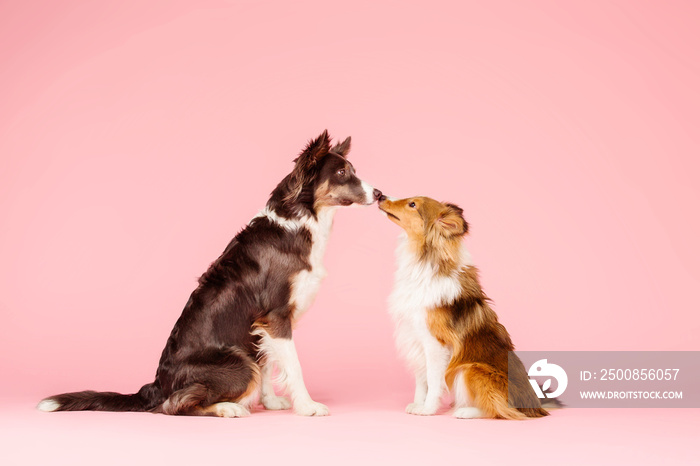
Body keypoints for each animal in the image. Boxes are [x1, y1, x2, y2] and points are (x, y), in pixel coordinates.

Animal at [38, 129, 382, 416]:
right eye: (342, 173)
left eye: (352, 170)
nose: (379, 193)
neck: (301, 218)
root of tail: (156, 385)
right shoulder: (276, 315)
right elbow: (292, 367)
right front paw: (308, 406)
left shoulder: (262, 324)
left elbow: (268, 364)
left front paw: (271, 402)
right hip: (238, 363)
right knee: (175, 405)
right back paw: (228, 407)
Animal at [380, 195, 548, 420]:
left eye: (413, 204)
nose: (381, 196)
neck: (425, 261)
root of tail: (534, 406)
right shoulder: (415, 339)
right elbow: (421, 380)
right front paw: (418, 404)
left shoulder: (435, 343)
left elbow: (433, 381)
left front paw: (428, 409)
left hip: (471, 368)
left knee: (499, 409)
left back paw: (464, 411)